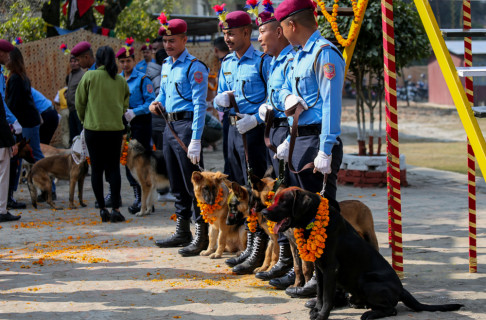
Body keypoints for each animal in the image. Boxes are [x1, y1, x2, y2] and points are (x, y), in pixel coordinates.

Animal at [262, 186, 464, 318]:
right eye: (274, 200)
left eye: (283, 202)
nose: (263, 212)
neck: (313, 223)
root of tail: (401, 289)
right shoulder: (320, 269)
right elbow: (319, 293)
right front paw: (317, 310)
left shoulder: (330, 268)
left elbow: (327, 296)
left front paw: (323, 314)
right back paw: (360, 304)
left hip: (365, 279)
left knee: (392, 309)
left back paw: (369, 313)